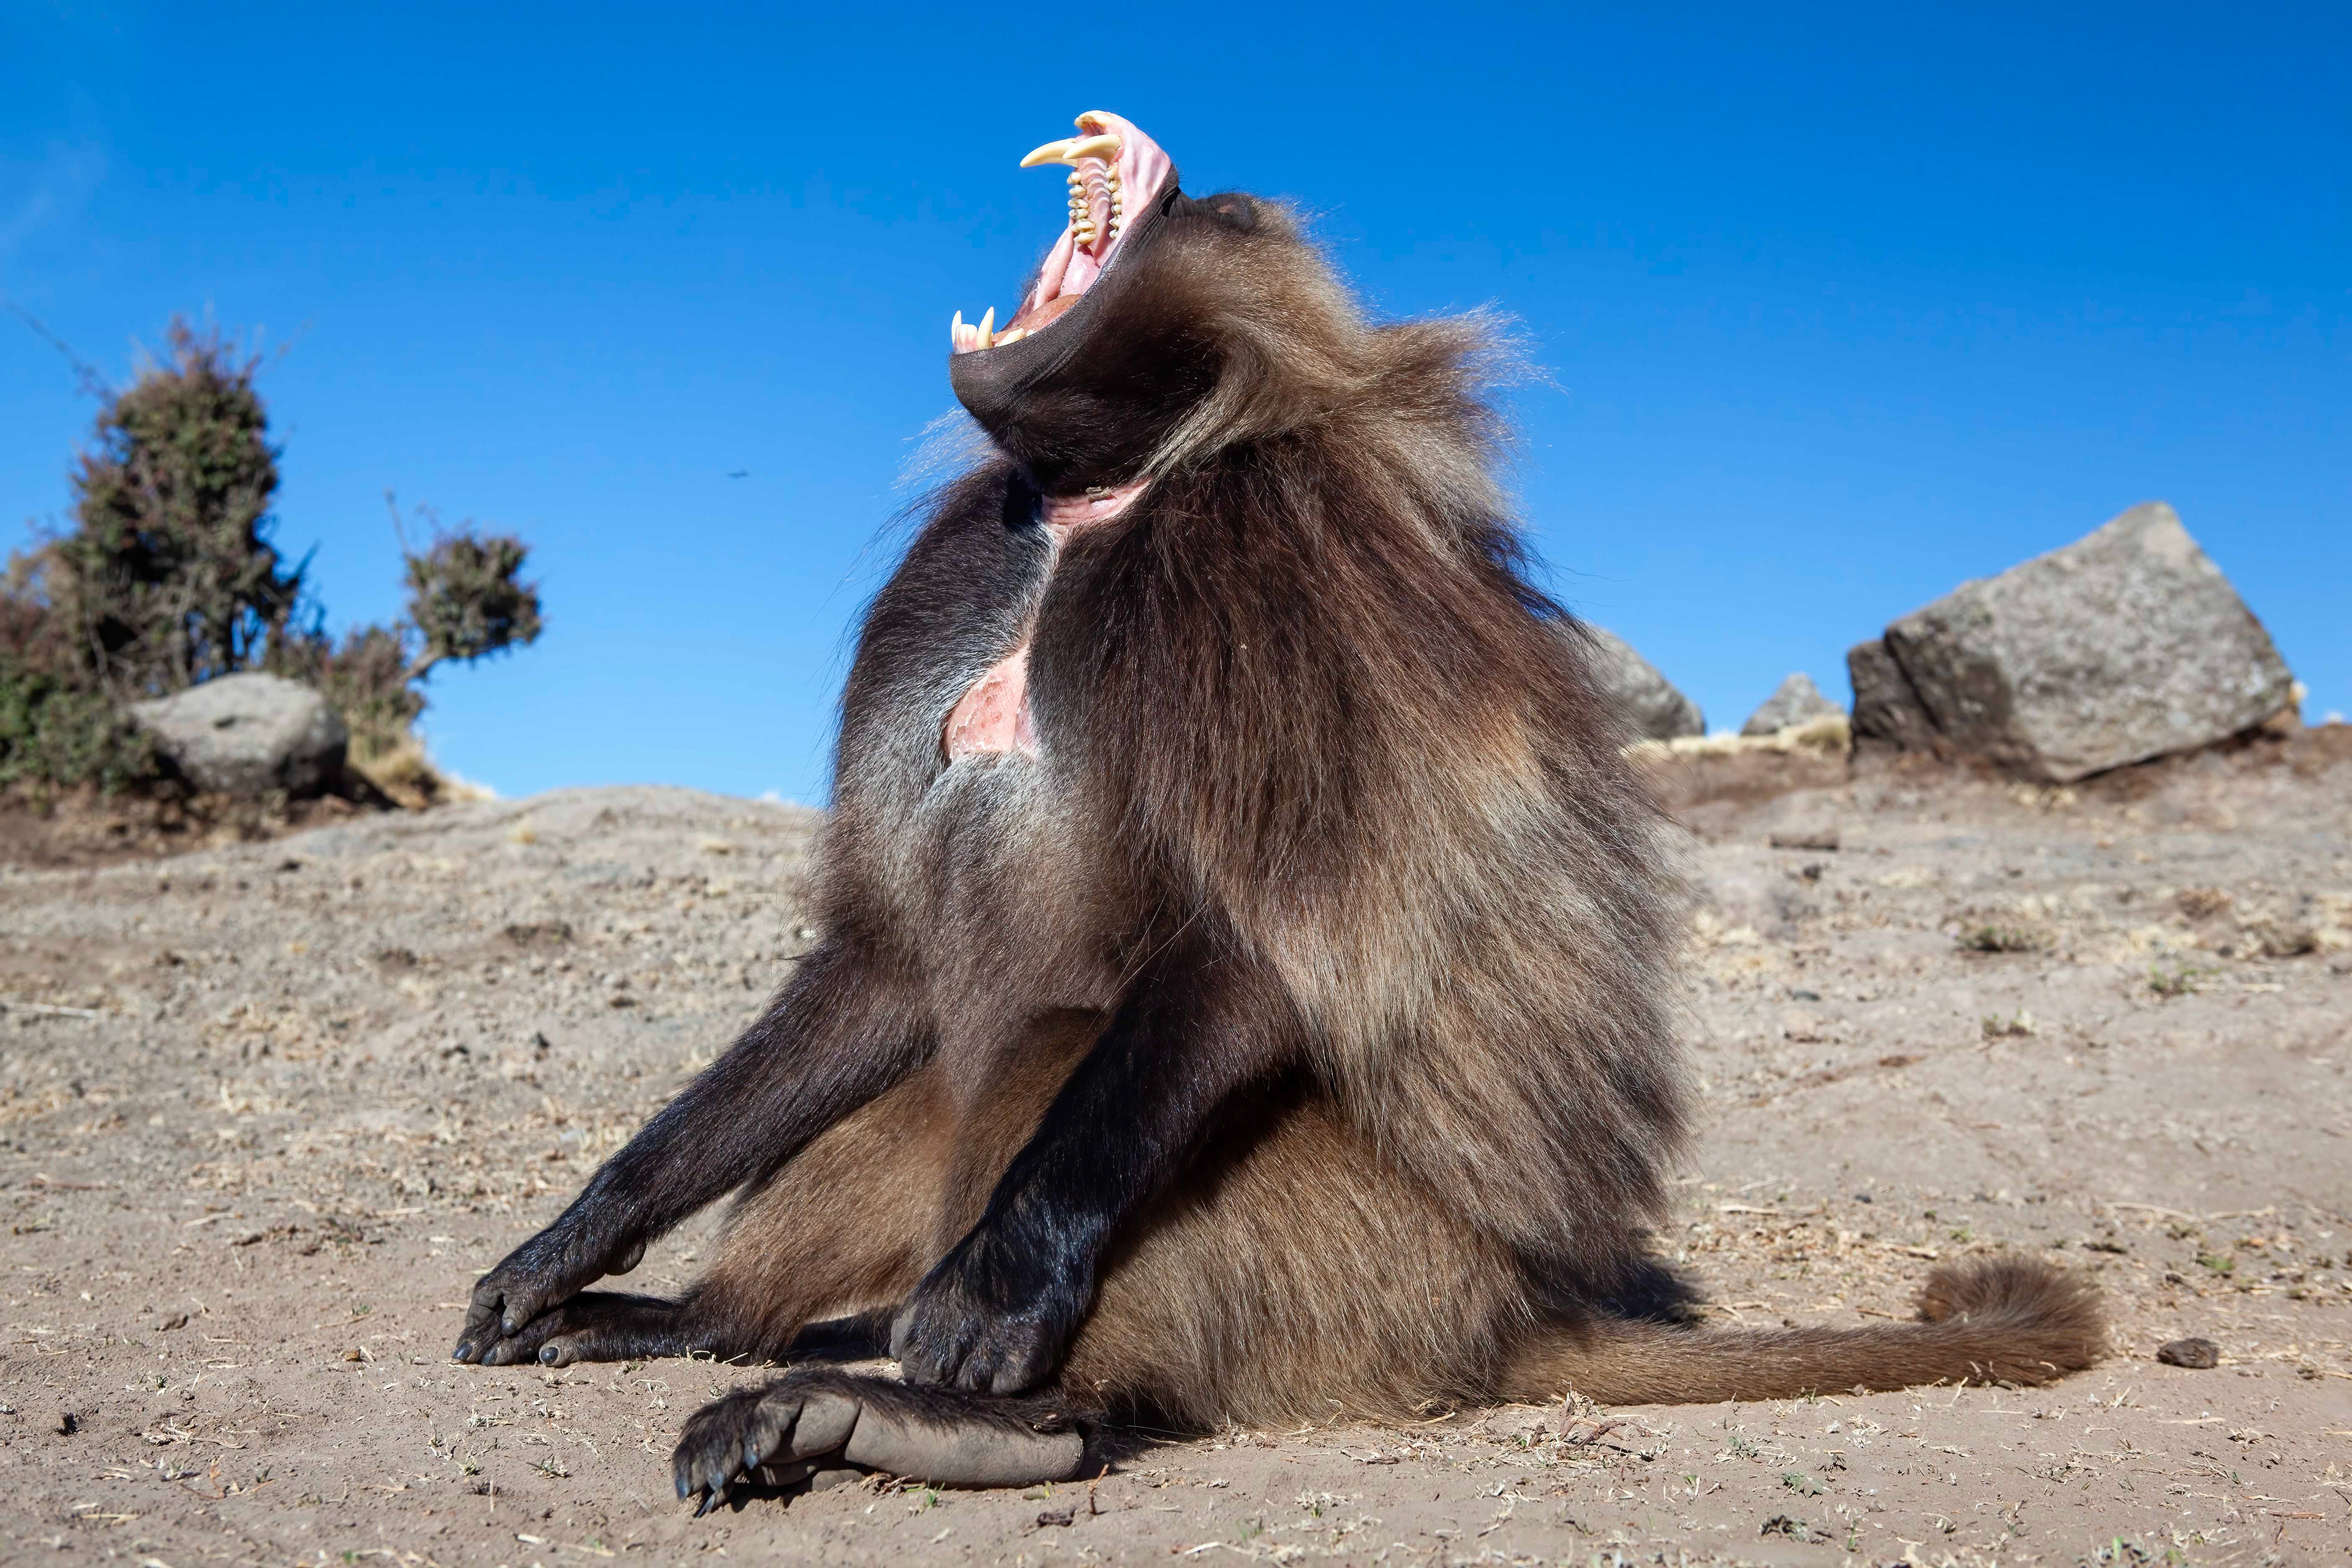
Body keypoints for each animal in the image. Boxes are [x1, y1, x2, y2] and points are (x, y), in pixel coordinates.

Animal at [452, 112, 2103, 1508]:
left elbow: (1261, 945)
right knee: (923, 1081)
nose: (1186, 165)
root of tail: (1510, 1308)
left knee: (1053, 1056)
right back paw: (693, 1318)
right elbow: (886, 965)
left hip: (1356, 1250)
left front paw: (990, 1305)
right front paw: (569, 1242)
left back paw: (956, 1416)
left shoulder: (1265, 581)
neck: (1098, 501)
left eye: (1226, 211)